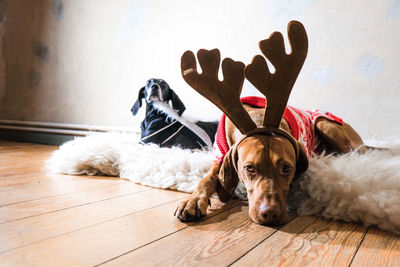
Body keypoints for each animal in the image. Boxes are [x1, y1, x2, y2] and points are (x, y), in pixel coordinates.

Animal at [173, 21, 368, 226]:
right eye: (249, 168)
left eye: (286, 168)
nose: (270, 213)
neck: (258, 119)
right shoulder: (219, 156)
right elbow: (207, 179)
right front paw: (192, 200)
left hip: (326, 124)